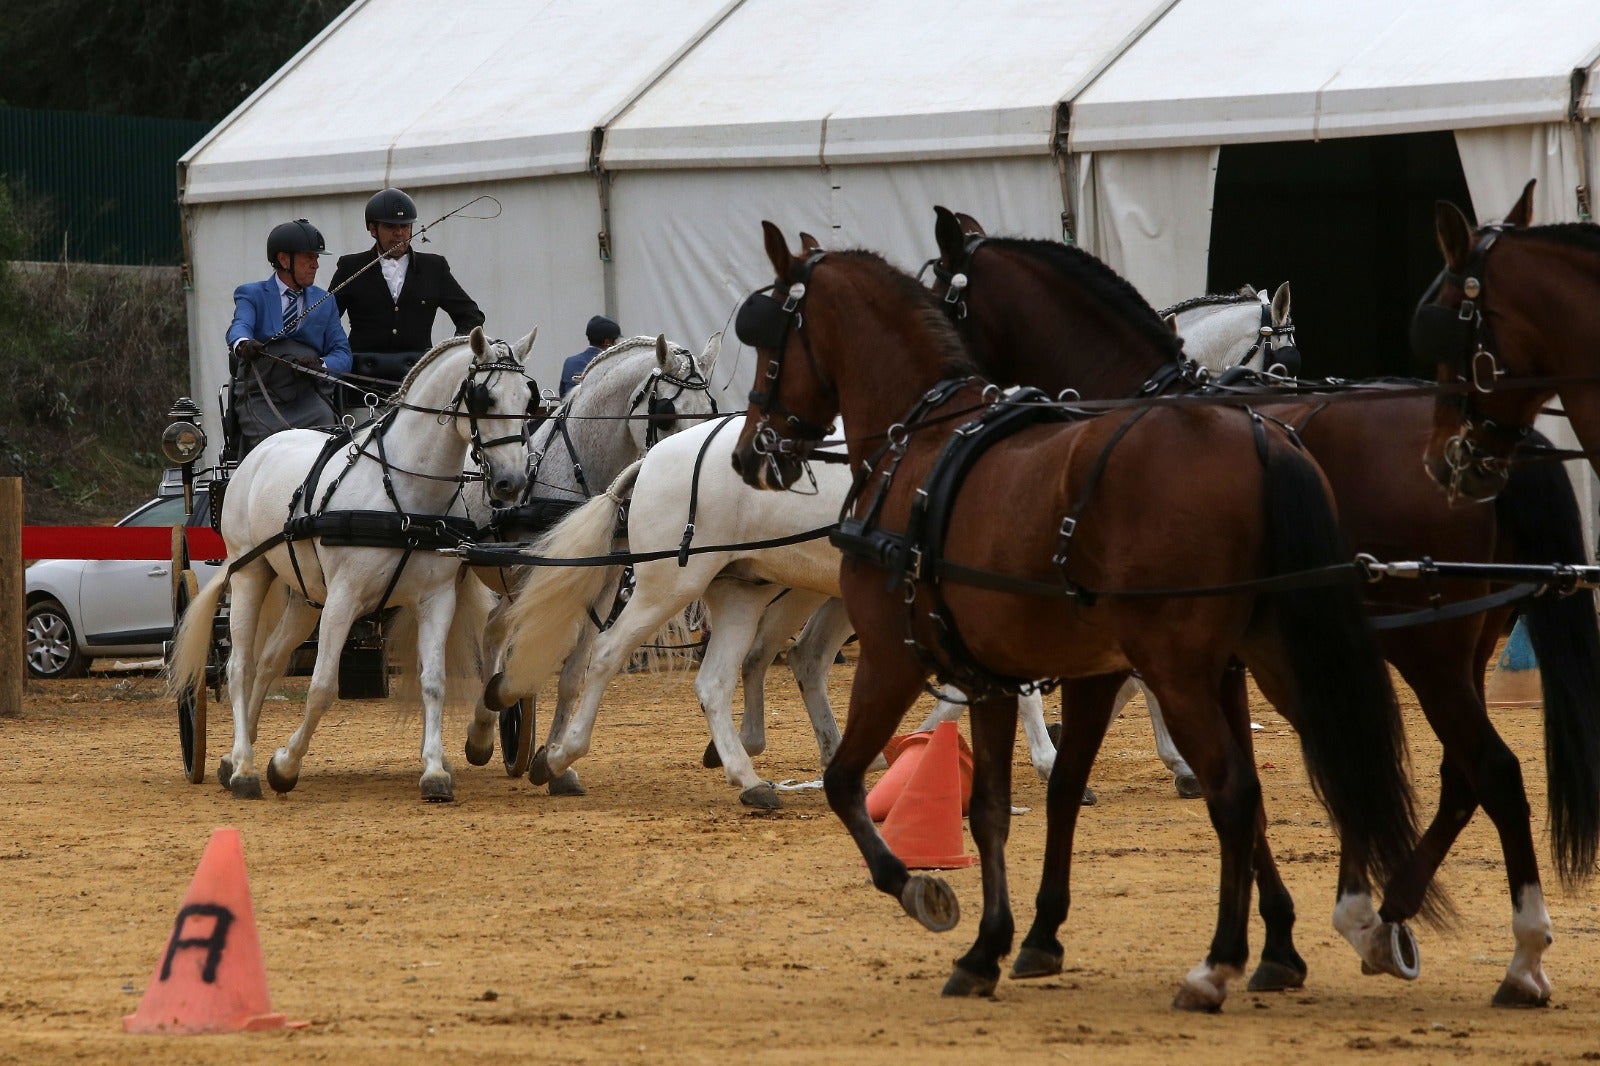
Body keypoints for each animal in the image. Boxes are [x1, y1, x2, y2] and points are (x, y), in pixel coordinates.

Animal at [726, 222, 1414, 1005]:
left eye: (769, 336)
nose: (753, 454)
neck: (925, 439)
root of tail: (1261, 440)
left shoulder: (893, 653)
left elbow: (848, 784)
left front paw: (924, 892)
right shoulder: (1004, 672)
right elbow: (995, 807)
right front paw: (997, 944)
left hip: (1183, 664)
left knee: (1241, 789)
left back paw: (1220, 961)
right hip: (1272, 656)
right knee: (1337, 756)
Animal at [928, 204, 1600, 1005]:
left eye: (939, 299)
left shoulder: (1150, 648)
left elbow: (1092, 776)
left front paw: (1045, 928)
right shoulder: (1224, 657)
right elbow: (1240, 783)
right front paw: (1277, 940)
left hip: (1427, 651)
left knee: (1487, 770)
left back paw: (1496, 949)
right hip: (1462, 642)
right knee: (1457, 777)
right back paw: (1392, 916)